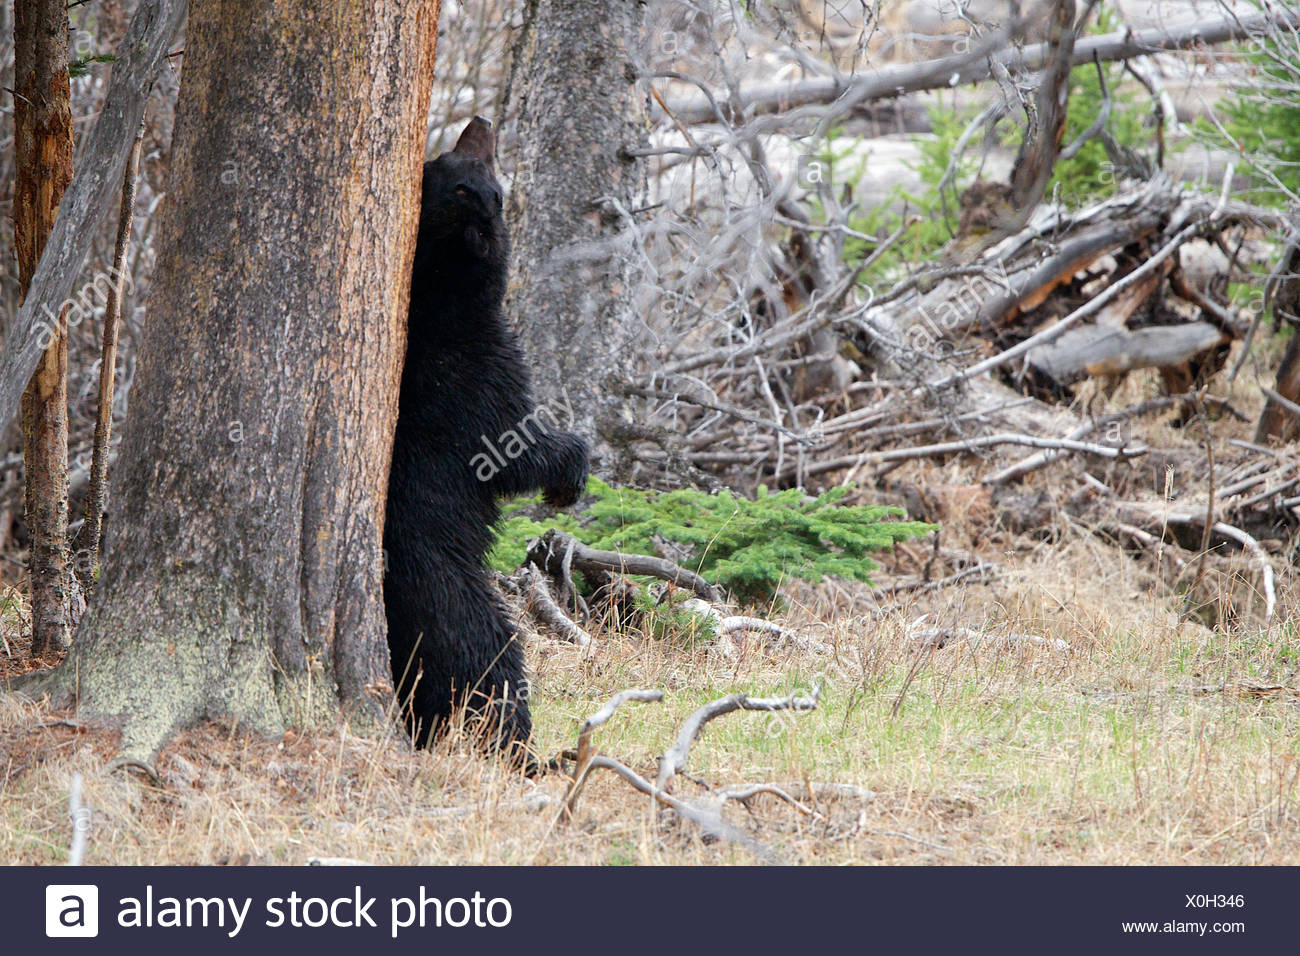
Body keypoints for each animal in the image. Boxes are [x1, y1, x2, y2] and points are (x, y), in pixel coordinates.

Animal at [384, 116, 589, 766]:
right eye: (483, 184)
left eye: (436, 160)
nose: (481, 123)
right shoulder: (476, 382)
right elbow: (511, 451)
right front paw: (569, 473)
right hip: (463, 613)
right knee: (494, 668)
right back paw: (527, 753)